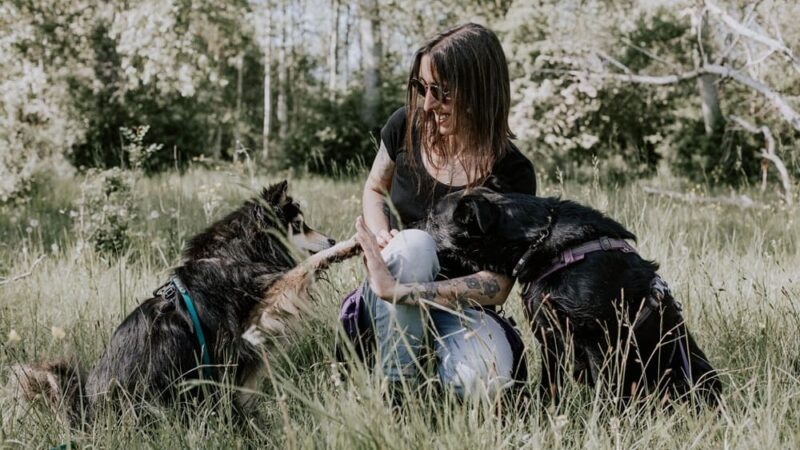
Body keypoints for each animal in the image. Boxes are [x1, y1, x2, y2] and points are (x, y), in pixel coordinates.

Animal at [8, 180, 360, 426]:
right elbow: (303, 268)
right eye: (299, 225)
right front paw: (346, 246)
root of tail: (88, 417)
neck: (237, 253)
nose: (329, 238)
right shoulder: (258, 313)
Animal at [428, 188, 720, 406]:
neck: (542, 243)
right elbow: (550, 385)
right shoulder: (549, 338)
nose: (415, 222)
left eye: (432, 220)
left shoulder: (600, 342)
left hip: (687, 373)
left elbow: (606, 393)